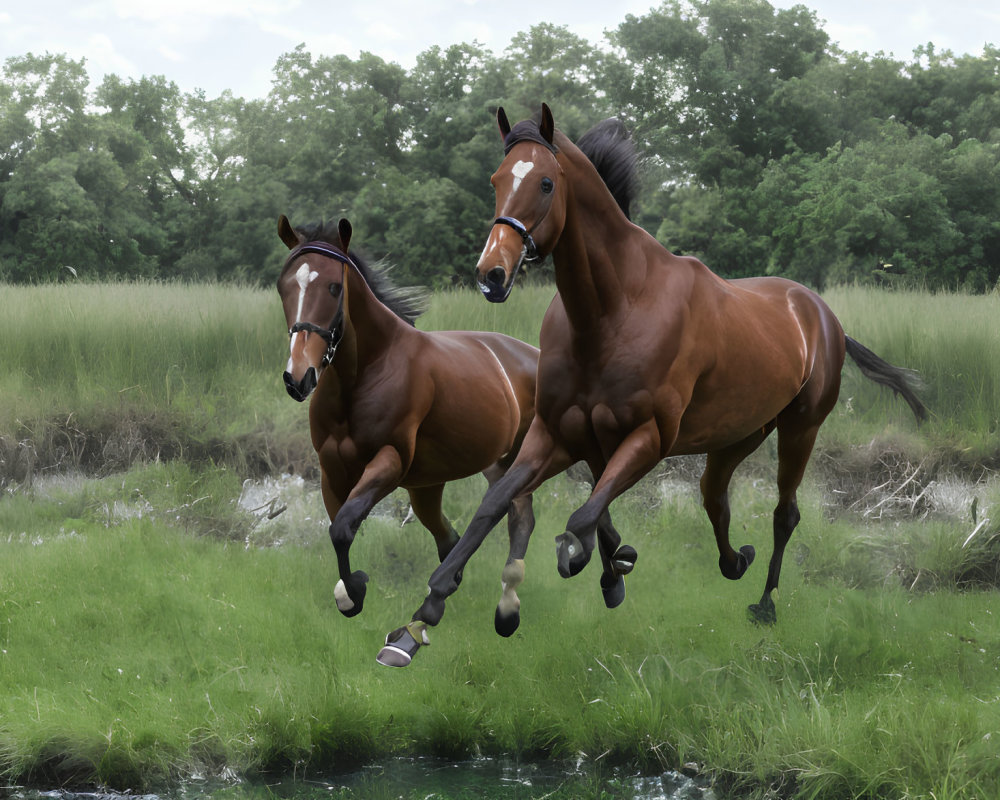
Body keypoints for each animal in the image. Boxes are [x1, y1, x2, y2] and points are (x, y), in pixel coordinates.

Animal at [378, 103, 924, 664]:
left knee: (784, 513)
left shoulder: (648, 437)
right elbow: (496, 507)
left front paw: (596, 565)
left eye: (546, 183)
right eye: (497, 179)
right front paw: (418, 621)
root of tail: (823, 316)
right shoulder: (557, 433)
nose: (491, 274)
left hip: (801, 428)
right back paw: (736, 561)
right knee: (714, 498)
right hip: (737, 436)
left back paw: (765, 603)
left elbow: (581, 520)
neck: (614, 309)